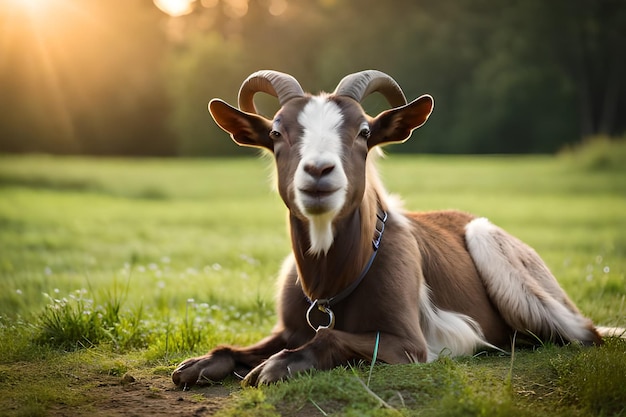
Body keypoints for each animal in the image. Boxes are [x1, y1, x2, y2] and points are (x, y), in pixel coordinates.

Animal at [171, 70, 616, 386]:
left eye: (365, 131)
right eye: (277, 132)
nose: (319, 172)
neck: (335, 279)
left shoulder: (409, 345)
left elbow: (330, 337)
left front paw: (273, 368)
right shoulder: (290, 326)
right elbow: (237, 347)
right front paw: (197, 365)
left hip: (503, 260)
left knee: (585, 333)